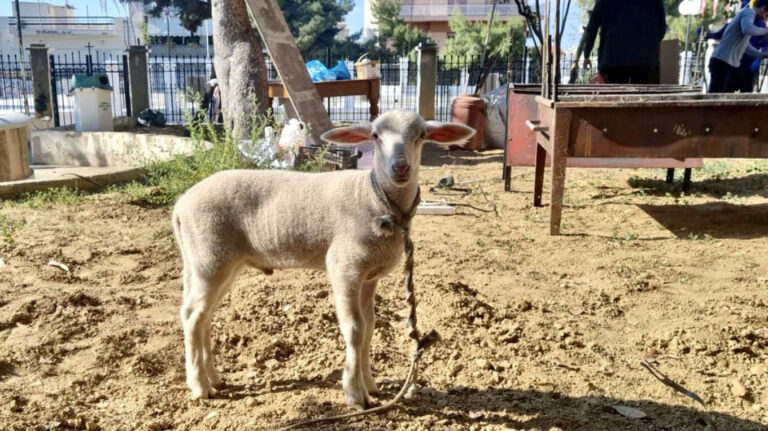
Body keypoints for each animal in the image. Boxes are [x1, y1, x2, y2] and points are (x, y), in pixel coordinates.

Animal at [172, 109, 474, 410]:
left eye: (421, 135)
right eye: (375, 136)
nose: (400, 168)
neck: (376, 199)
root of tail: (181, 204)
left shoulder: (369, 276)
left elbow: (370, 327)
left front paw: (370, 385)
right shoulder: (345, 267)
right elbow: (355, 329)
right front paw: (354, 393)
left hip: (211, 263)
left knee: (201, 316)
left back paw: (214, 378)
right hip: (210, 258)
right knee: (193, 316)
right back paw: (199, 386)